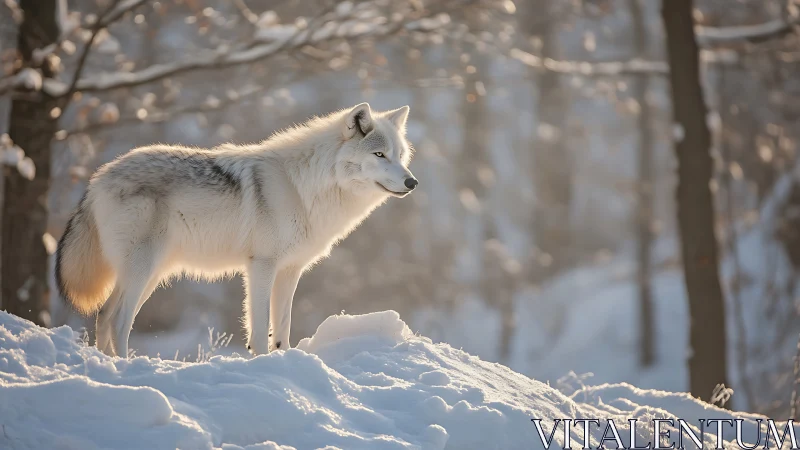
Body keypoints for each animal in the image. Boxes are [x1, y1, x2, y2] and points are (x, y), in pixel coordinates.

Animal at [56, 103, 418, 357]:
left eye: (400, 155)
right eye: (379, 154)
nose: (412, 182)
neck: (305, 187)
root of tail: (99, 177)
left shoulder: (291, 270)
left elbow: (282, 328)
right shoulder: (261, 265)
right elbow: (258, 329)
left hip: (151, 275)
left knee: (104, 314)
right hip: (144, 270)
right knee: (118, 319)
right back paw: (128, 367)